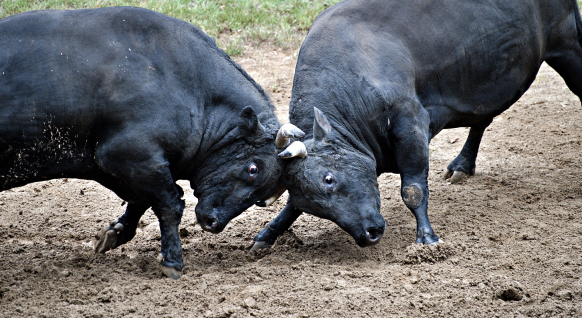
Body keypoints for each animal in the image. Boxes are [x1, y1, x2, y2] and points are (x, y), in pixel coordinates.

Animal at [1, 6, 306, 278]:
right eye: (252, 169)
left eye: (263, 200)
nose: (213, 223)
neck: (186, 85)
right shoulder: (129, 156)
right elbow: (170, 204)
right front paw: (172, 261)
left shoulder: (138, 167)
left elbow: (142, 200)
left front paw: (116, 233)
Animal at [253, 0, 582, 248]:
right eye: (310, 204)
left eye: (329, 178)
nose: (369, 234)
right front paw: (269, 232)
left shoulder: (410, 123)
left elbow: (413, 189)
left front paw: (427, 237)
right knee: (482, 117)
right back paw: (463, 164)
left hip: (568, 44)